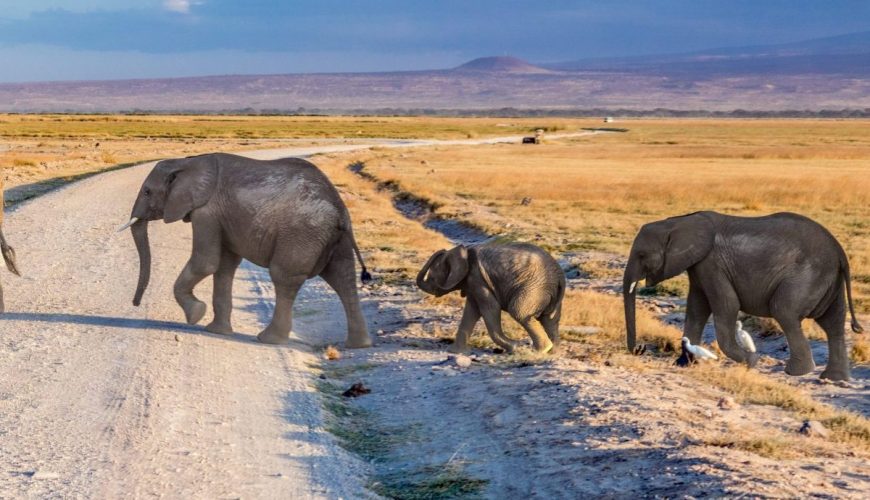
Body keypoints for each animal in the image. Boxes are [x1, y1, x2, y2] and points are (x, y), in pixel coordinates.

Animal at [119, 153, 373, 347]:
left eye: (147, 192)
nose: (135, 304)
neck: (187, 162)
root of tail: (340, 210)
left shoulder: (207, 212)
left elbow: (206, 262)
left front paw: (195, 316)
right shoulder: (222, 217)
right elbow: (224, 266)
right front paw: (216, 331)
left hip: (302, 233)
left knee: (285, 278)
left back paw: (269, 339)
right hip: (332, 238)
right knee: (343, 278)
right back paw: (358, 345)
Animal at [416, 243, 565, 354]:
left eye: (432, 278)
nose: (441, 250)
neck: (464, 253)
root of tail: (560, 277)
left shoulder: (478, 279)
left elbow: (490, 308)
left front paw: (515, 347)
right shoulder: (473, 283)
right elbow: (471, 311)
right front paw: (456, 352)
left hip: (534, 288)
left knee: (519, 312)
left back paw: (540, 351)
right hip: (547, 292)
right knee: (550, 319)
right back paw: (552, 352)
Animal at [623, 211, 864, 381]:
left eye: (642, 255)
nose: (639, 349)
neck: (676, 222)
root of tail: (839, 251)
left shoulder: (712, 263)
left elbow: (726, 305)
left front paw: (751, 362)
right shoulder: (699, 266)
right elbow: (697, 308)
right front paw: (683, 363)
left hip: (807, 276)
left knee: (784, 311)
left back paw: (796, 372)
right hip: (828, 279)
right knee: (833, 323)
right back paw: (833, 379)